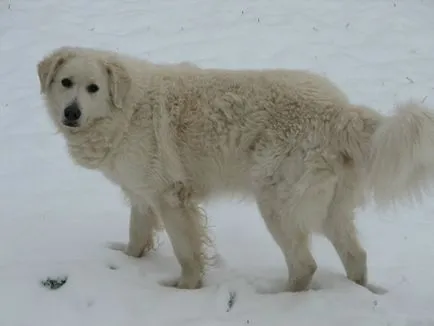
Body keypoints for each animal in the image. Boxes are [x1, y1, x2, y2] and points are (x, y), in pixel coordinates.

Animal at [36, 45, 434, 290]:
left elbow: (187, 254)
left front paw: (184, 290)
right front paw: (129, 263)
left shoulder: (170, 198)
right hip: (328, 209)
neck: (126, 109)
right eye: (66, 83)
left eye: (93, 88)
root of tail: (341, 112)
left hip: (277, 204)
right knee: (355, 255)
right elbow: (136, 238)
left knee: (305, 265)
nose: (71, 113)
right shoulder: (142, 195)